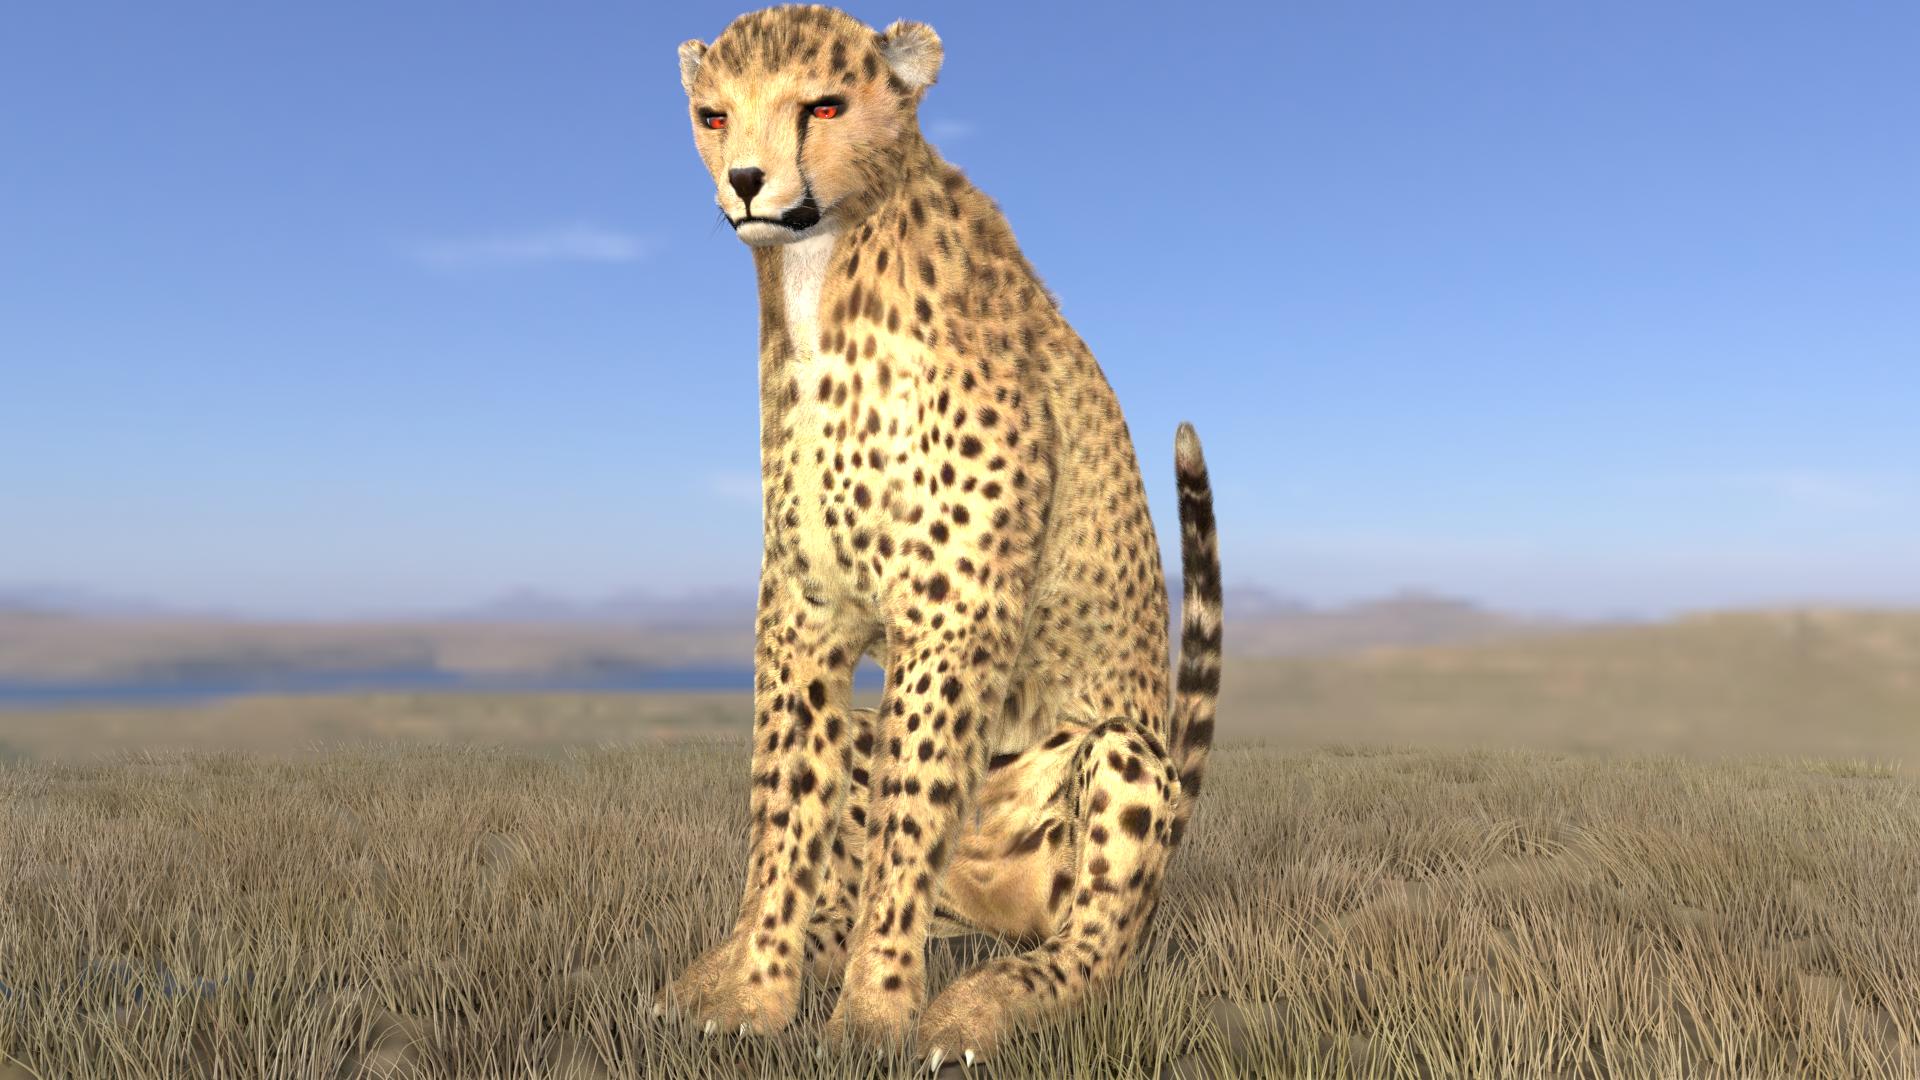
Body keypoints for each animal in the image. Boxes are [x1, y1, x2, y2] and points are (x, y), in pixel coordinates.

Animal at [655, 6, 1223, 1070]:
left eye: (822, 106)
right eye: (714, 115)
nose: (746, 179)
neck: (823, 275)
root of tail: (991, 915)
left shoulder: (951, 615)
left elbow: (909, 818)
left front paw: (874, 1016)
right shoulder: (805, 618)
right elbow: (783, 812)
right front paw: (750, 991)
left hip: (1121, 756)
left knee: (1094, 949)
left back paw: (976, 1007)